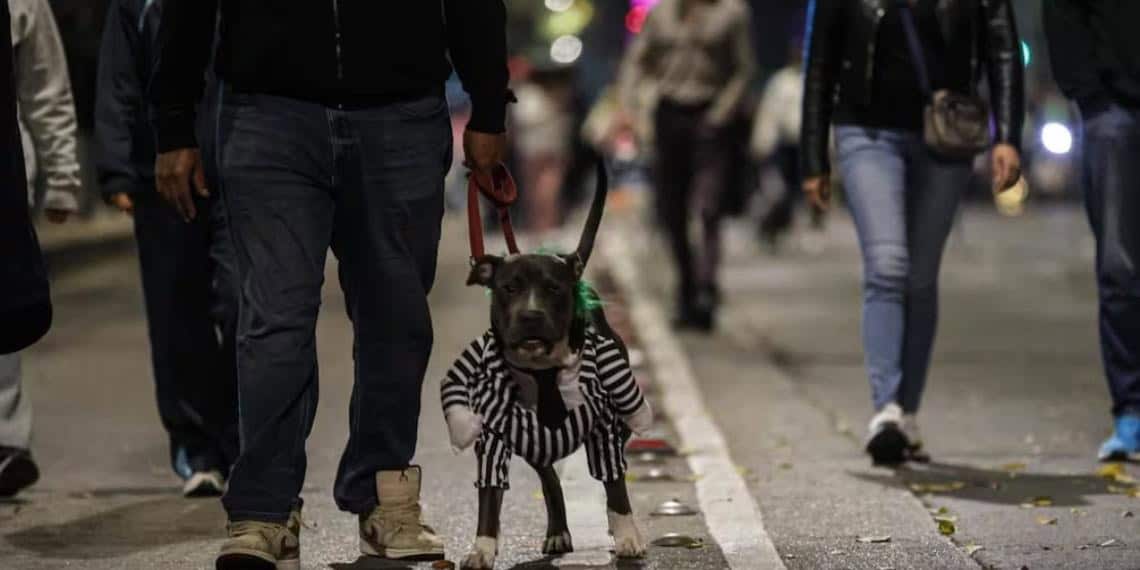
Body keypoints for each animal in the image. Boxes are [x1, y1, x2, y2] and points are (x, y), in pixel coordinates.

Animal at [435, 163, 652, 567]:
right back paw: (557, 532)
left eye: (554, 288)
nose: (531, 315)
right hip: (532, 442)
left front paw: (628, 535)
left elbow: (615, 485)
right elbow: (489, 498)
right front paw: (482, 549)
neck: (543, 371)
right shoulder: (495, 439)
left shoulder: (606, 429)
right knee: (550, 481)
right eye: (509, 288)